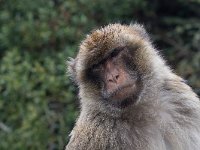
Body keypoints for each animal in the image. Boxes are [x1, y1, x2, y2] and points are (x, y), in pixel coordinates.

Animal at [65, 23, 200, 150]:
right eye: (96, 66)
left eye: (114, 54)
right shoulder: (96, 131)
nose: (113, 77)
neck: (142, 110)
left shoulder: (179, 99)